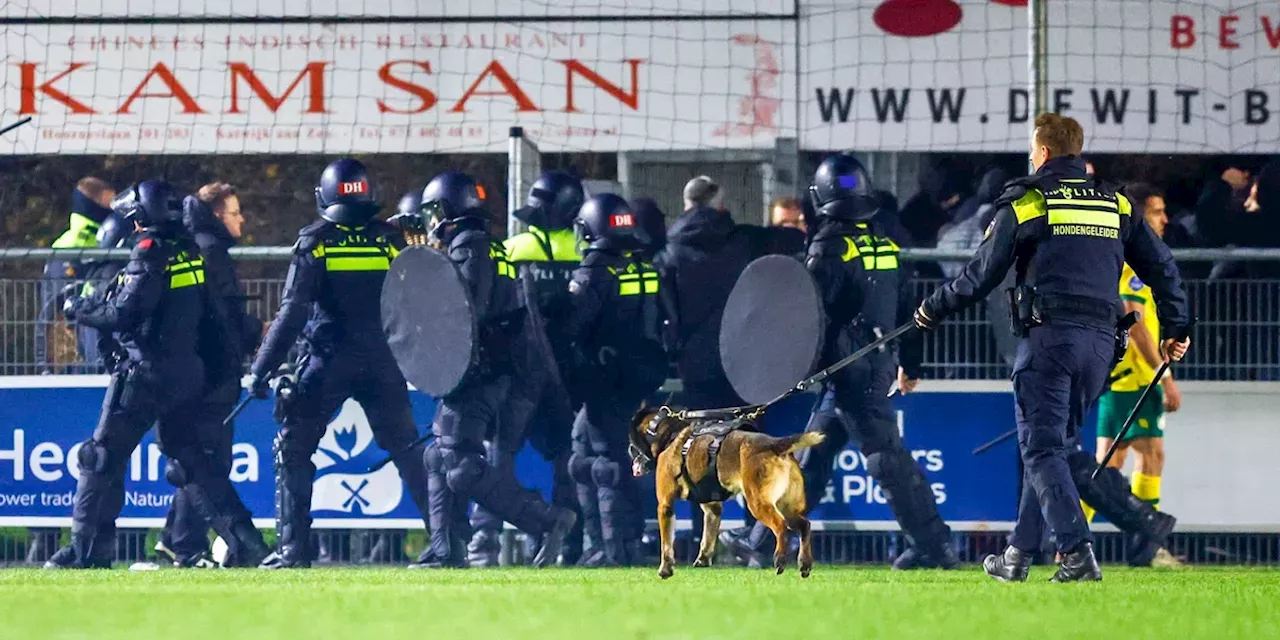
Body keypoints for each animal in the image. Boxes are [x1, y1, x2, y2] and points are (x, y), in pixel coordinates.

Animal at [627, 409, 824, 581]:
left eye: (633, 444)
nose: (629, 449)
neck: (669, 435)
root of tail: (775, 444)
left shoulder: (665, 505)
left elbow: (666, 544)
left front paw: (665, 569)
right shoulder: (712, 508)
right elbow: (707, 536)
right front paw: (703, 560)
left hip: (758, 503)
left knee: (780, 526)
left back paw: (780, 559)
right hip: (787, 507)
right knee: (804, 526)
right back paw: (804, 563)